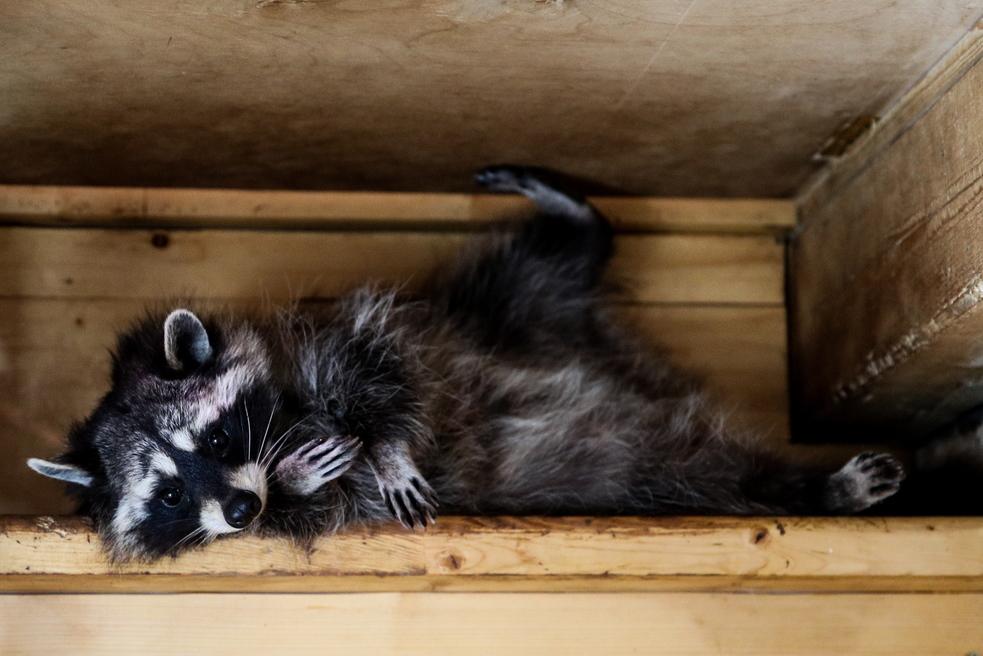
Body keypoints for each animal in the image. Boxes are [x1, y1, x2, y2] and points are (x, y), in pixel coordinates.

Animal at [26, 164, 908, 560]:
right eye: (170, 494)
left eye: (213, 439)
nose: (241, 508)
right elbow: (322, 504)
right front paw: (301, 480)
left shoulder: (327, 334)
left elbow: (377, 360)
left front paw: (379, 445)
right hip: (639, 467)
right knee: (720, 478)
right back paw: (810, 487)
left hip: (507, 310)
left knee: (543, 266)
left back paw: (576, 222)